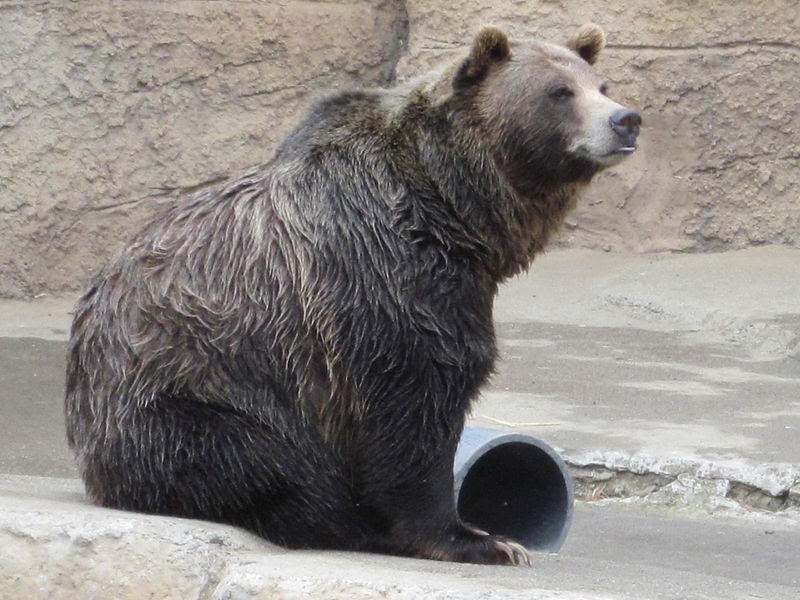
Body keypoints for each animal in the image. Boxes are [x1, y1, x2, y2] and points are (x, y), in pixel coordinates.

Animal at [65, 23, 640, 566]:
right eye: (558, 91)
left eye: (601, 85)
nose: (625, 120)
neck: (453, 211)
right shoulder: (381, 278)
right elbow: (414, 402)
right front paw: (479, 539)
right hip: (186, 396)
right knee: (267, 465)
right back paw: (346, 523)